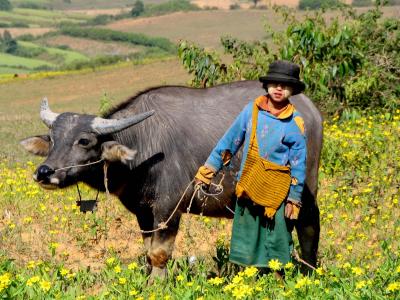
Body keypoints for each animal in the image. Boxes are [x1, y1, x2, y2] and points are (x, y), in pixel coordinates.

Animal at [21, 79, 322, 278]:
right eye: (53, 139)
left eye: (84, 140)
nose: (44, 172)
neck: (142, 144)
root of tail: (311, 110)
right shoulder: (143, 211)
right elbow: (148, 250)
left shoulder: (169, 208)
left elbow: (160, 252)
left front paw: (157, 283)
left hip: (303, 192)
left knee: (308, 227)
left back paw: (307, 272)